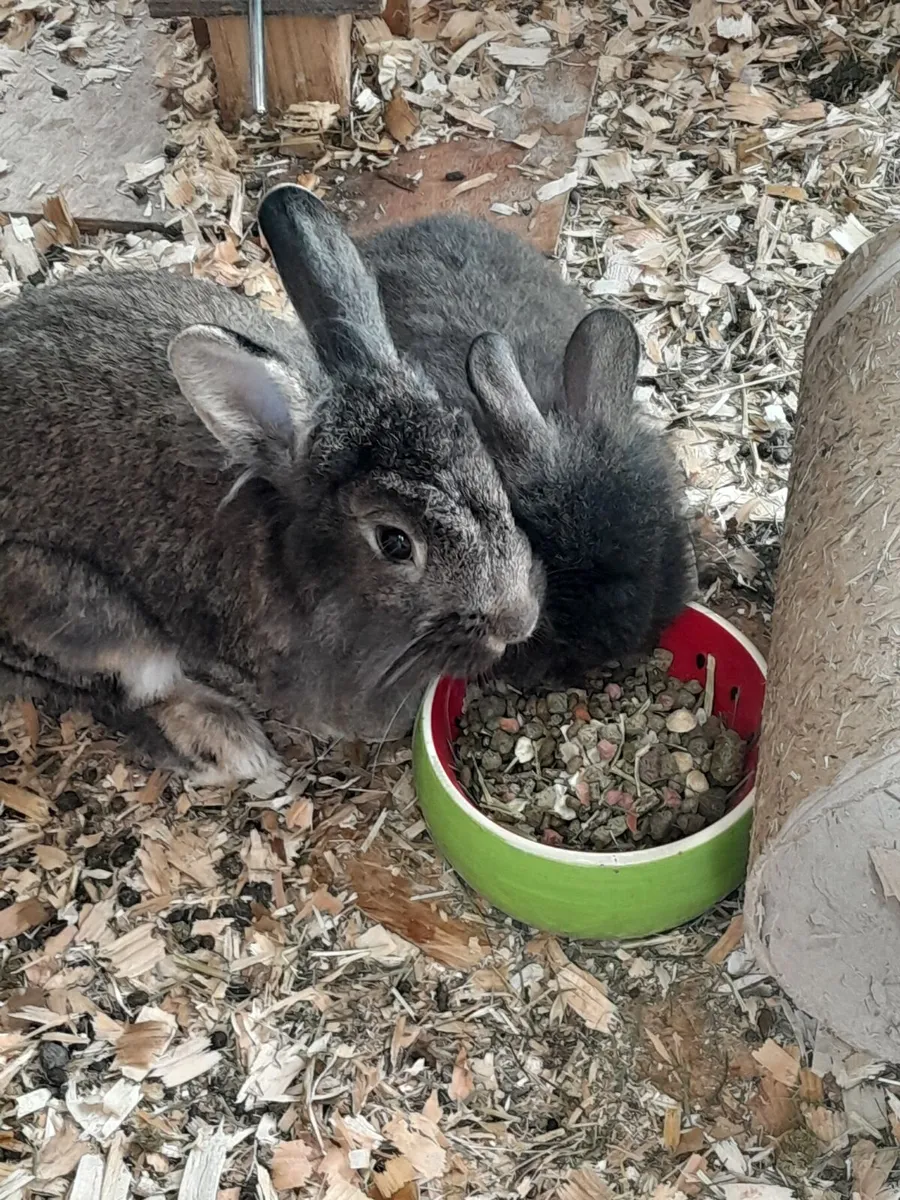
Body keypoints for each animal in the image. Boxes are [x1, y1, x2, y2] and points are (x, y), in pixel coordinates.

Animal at [0, 186, 542, 783]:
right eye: (395, 542)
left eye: (484, 462)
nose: (519, 620)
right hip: (71, 609)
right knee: (123, 692)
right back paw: (230, 745)